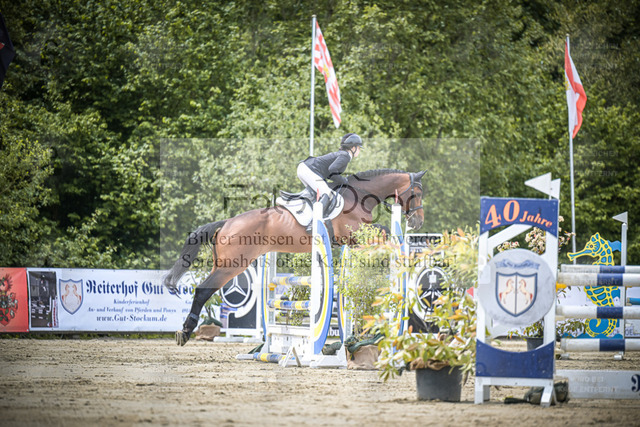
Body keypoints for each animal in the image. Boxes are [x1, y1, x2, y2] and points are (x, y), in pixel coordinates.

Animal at [163, 169, 426, 345]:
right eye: (417, 193)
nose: (417, 222)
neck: (360, 195)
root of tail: (227, 222)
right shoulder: (354, 234)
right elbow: (383, 234)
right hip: (232, 266)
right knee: (203, 291)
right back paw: (185, 332)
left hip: (224, 264)